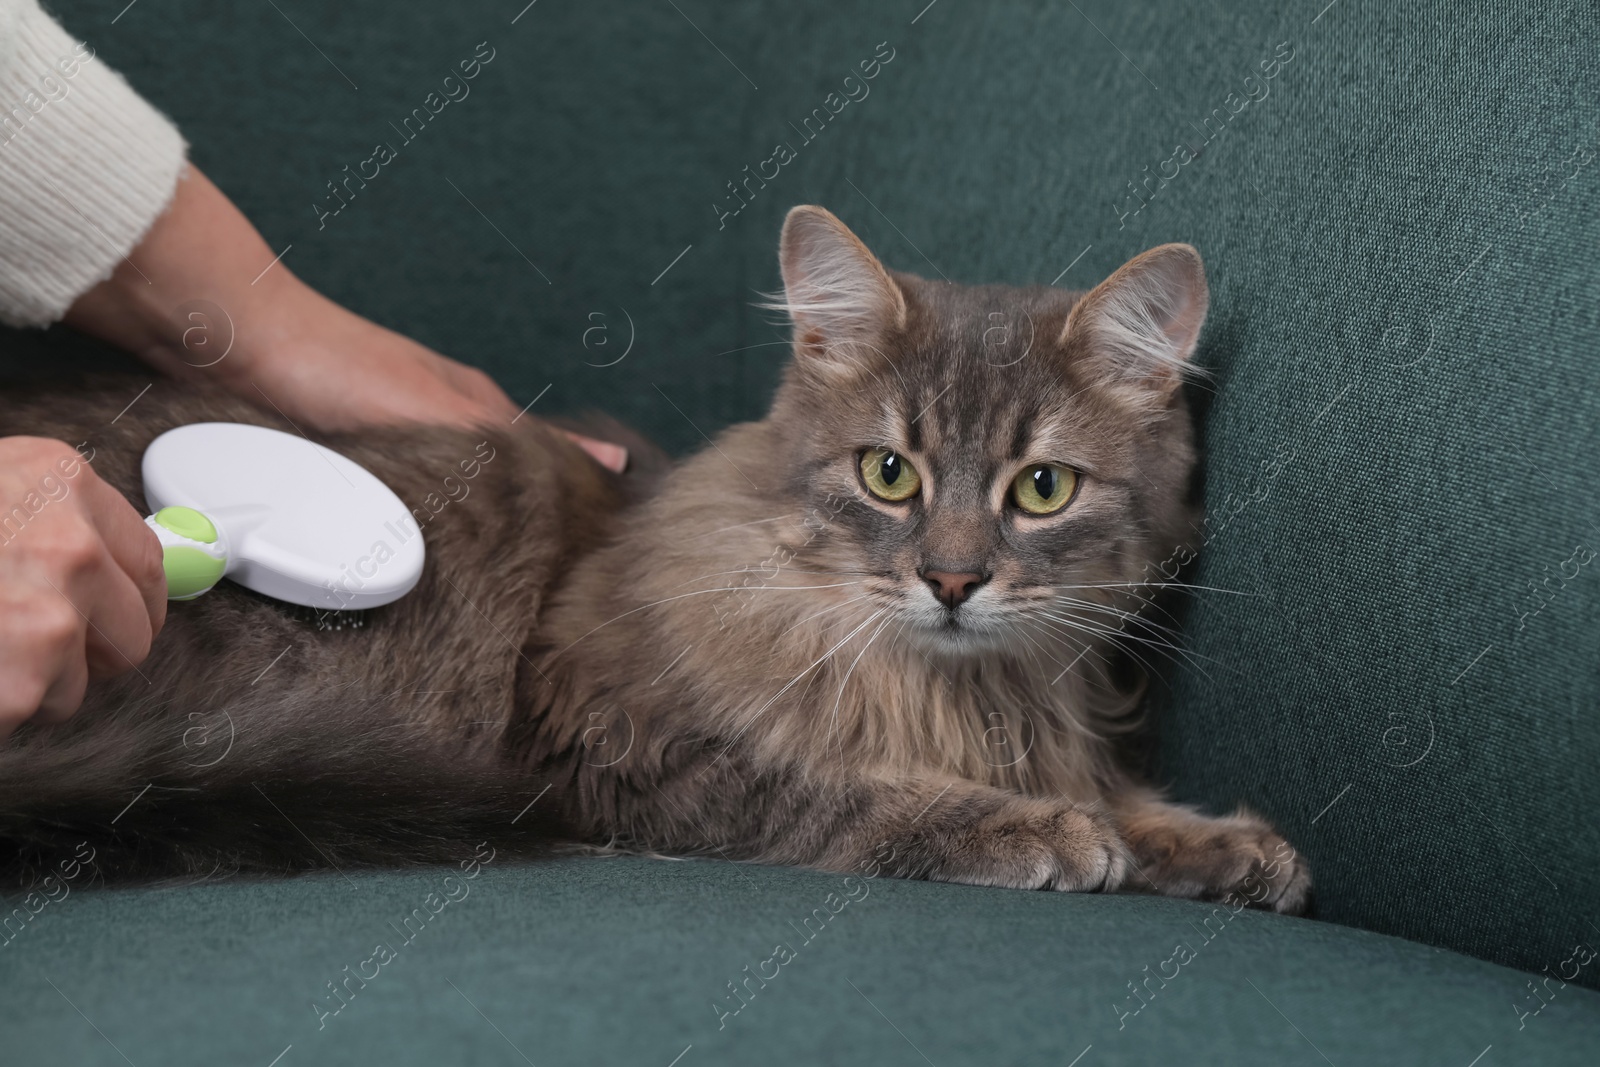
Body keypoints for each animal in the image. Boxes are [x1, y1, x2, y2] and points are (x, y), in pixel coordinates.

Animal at [0, 211, 1312, 921]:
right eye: (889, 472)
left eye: (1041, 490)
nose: (950, 580)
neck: (947, 687)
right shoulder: (604, 738)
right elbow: (843, 786)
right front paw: (1036, 828)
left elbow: (1127, 798)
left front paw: (1211, 844)